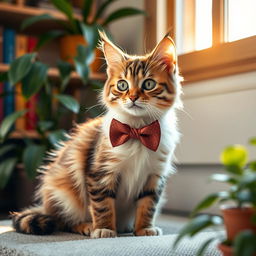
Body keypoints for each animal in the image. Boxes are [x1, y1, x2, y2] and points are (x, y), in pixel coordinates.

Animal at [11, 31, 182, 238]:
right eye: (122, 85)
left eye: (149, 84)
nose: (133, 97)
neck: (136, 131)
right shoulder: (100, 173)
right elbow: (103, 205)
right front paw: (104, 228)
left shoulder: (155, 175)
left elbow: (148, 205)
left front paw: (144, 228)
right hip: (64, 193)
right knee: (63, 221)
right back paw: (86, 226)